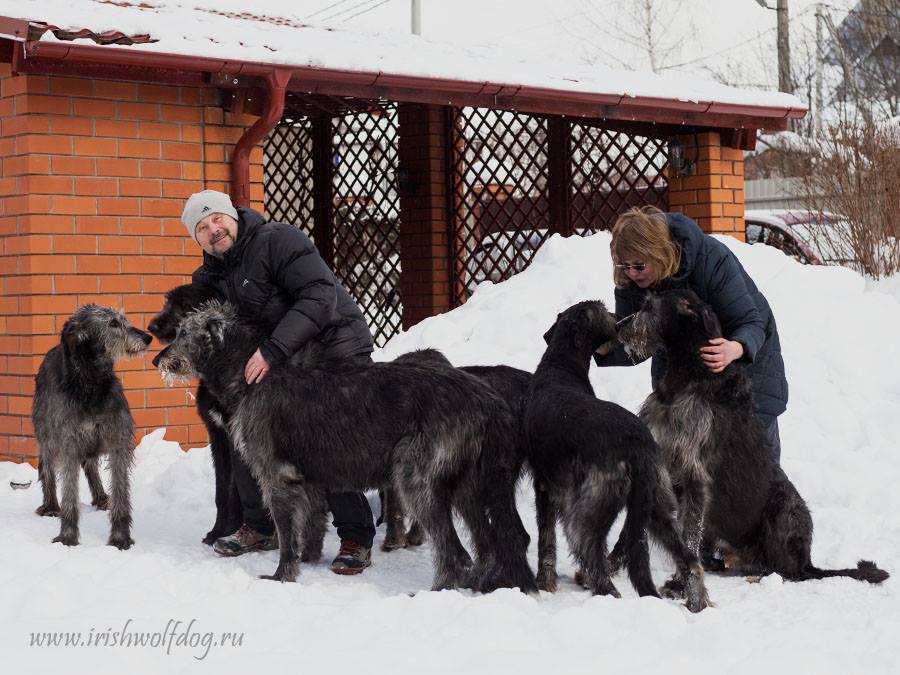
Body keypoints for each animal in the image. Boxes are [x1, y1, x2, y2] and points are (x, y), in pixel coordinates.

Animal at [33, 304, 151, 548]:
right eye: (113, 323)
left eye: (124, 320)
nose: (147, 338)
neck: (92, 385)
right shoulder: (68, 441)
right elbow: (69, 492)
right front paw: (67, 536)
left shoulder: (118, 441)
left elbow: (121, 489)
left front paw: (120, 538)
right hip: (47, 434)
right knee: (47, 468)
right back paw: (51, 506)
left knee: (90, 465)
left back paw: (101, 497)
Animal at [149, 282, 244, 548]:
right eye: (167, 301)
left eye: (183, 305)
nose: (152, 326)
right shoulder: (218, 436)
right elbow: (223, 490)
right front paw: (219, 531)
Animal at [156, 302, 536, 592]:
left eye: (184, 333)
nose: (158, 360)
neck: (252, 375)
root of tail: (486, 399)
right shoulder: (307, 477)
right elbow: (310, 523)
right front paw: (308, 560)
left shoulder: (276, 474)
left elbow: (286, 532)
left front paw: (282, 576)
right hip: (468, 485)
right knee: (485, 544)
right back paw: (481, 584)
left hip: (417, 477)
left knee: (455, 552)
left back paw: (438, 592)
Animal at [528, 302, 712, 612]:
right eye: (603, 309)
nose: (621, 320)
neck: (559, 365)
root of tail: (638, 446)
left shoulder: (544, 485)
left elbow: (546, 540)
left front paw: (544, 583)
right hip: (656, 505)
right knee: (690, 560)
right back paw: (696, 601)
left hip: (587, 513)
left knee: (595, 562)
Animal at [620, 290, 884, 588]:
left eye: (648, 307)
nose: (618, 327)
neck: (692, 372)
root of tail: (808, 560)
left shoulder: (696, 474)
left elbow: (688, 537)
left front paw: (681, 585)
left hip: (786, 509)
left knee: (789, 573)